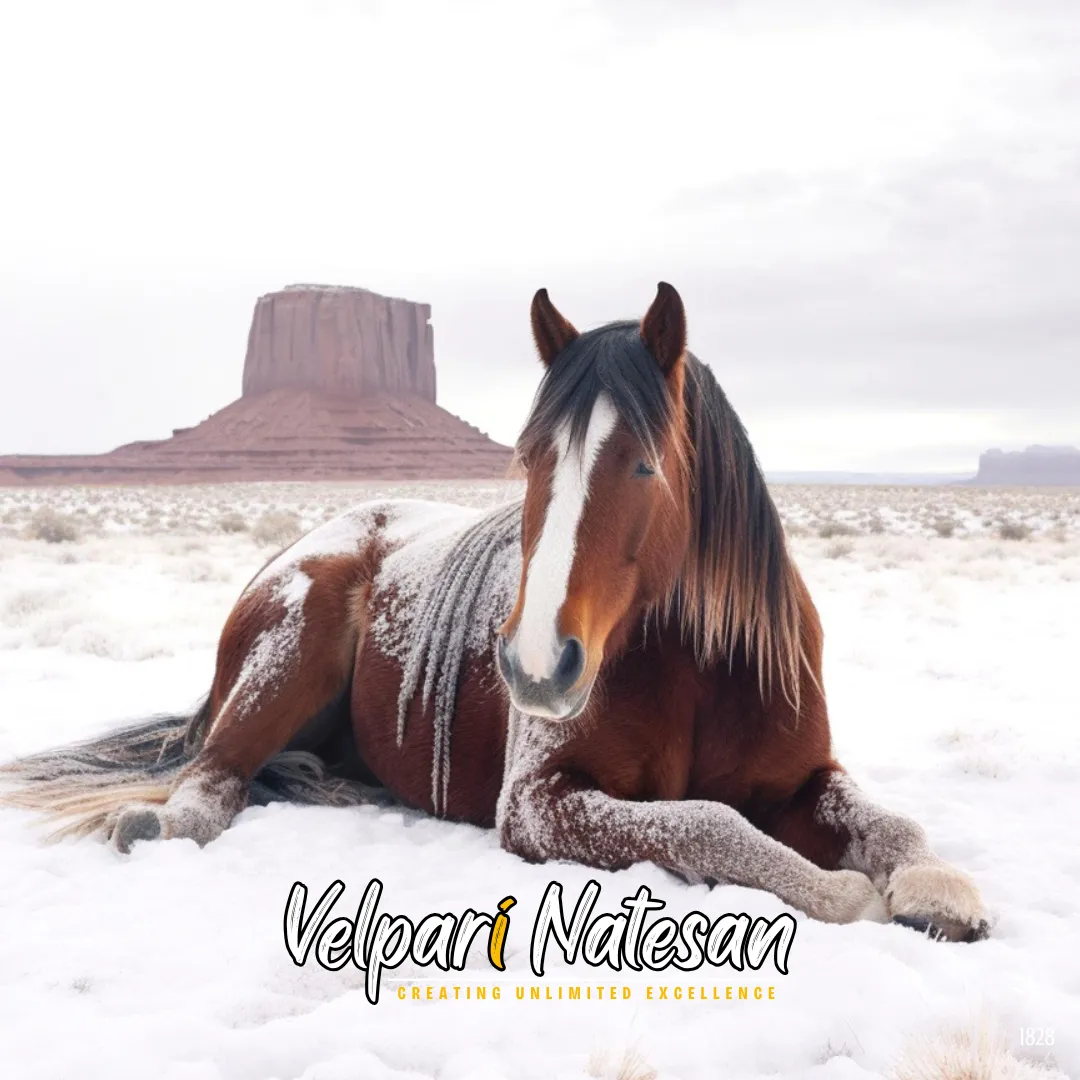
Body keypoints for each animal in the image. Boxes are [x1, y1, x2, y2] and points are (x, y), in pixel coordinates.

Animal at [0, 283, 989, 943]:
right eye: (529, 459)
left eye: (644, 464)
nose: (537, 666)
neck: (699, 672)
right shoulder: (540, 804)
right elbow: (709, 822)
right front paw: (842, 895)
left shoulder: (804, 777)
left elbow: (887, 822)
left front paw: (941, 887)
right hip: (292, 650)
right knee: (209, 781)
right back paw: (161, 821)